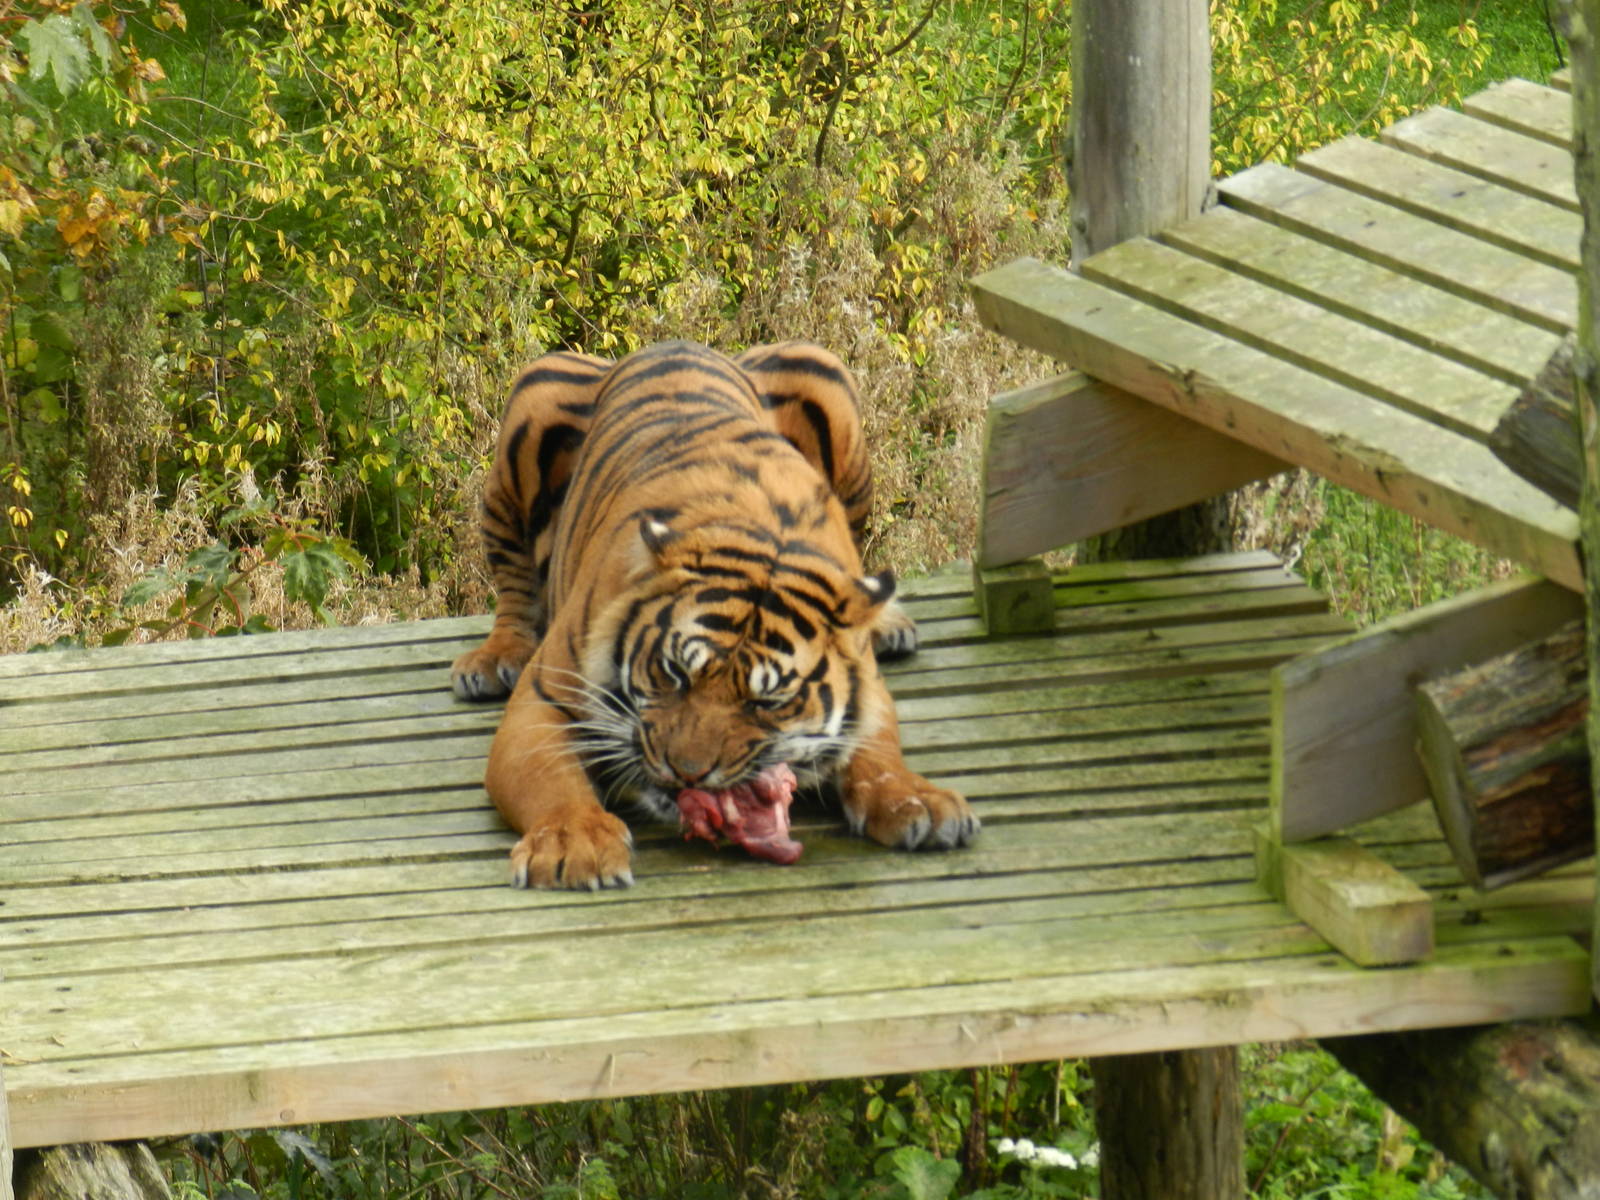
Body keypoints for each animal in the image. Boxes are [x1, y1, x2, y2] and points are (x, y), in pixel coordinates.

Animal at [451, 339, 979, 890]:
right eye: (674, 673)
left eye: (767, 703)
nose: (687, 773)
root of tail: (673, 343)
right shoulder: (543, 698)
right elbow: (551, 779)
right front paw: (574, 845)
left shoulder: (864, 692)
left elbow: (877, 755)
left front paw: (917, 801)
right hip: (533, 397)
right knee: (512, 578)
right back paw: (493, 661)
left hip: (826, 379)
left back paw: (888, 624)